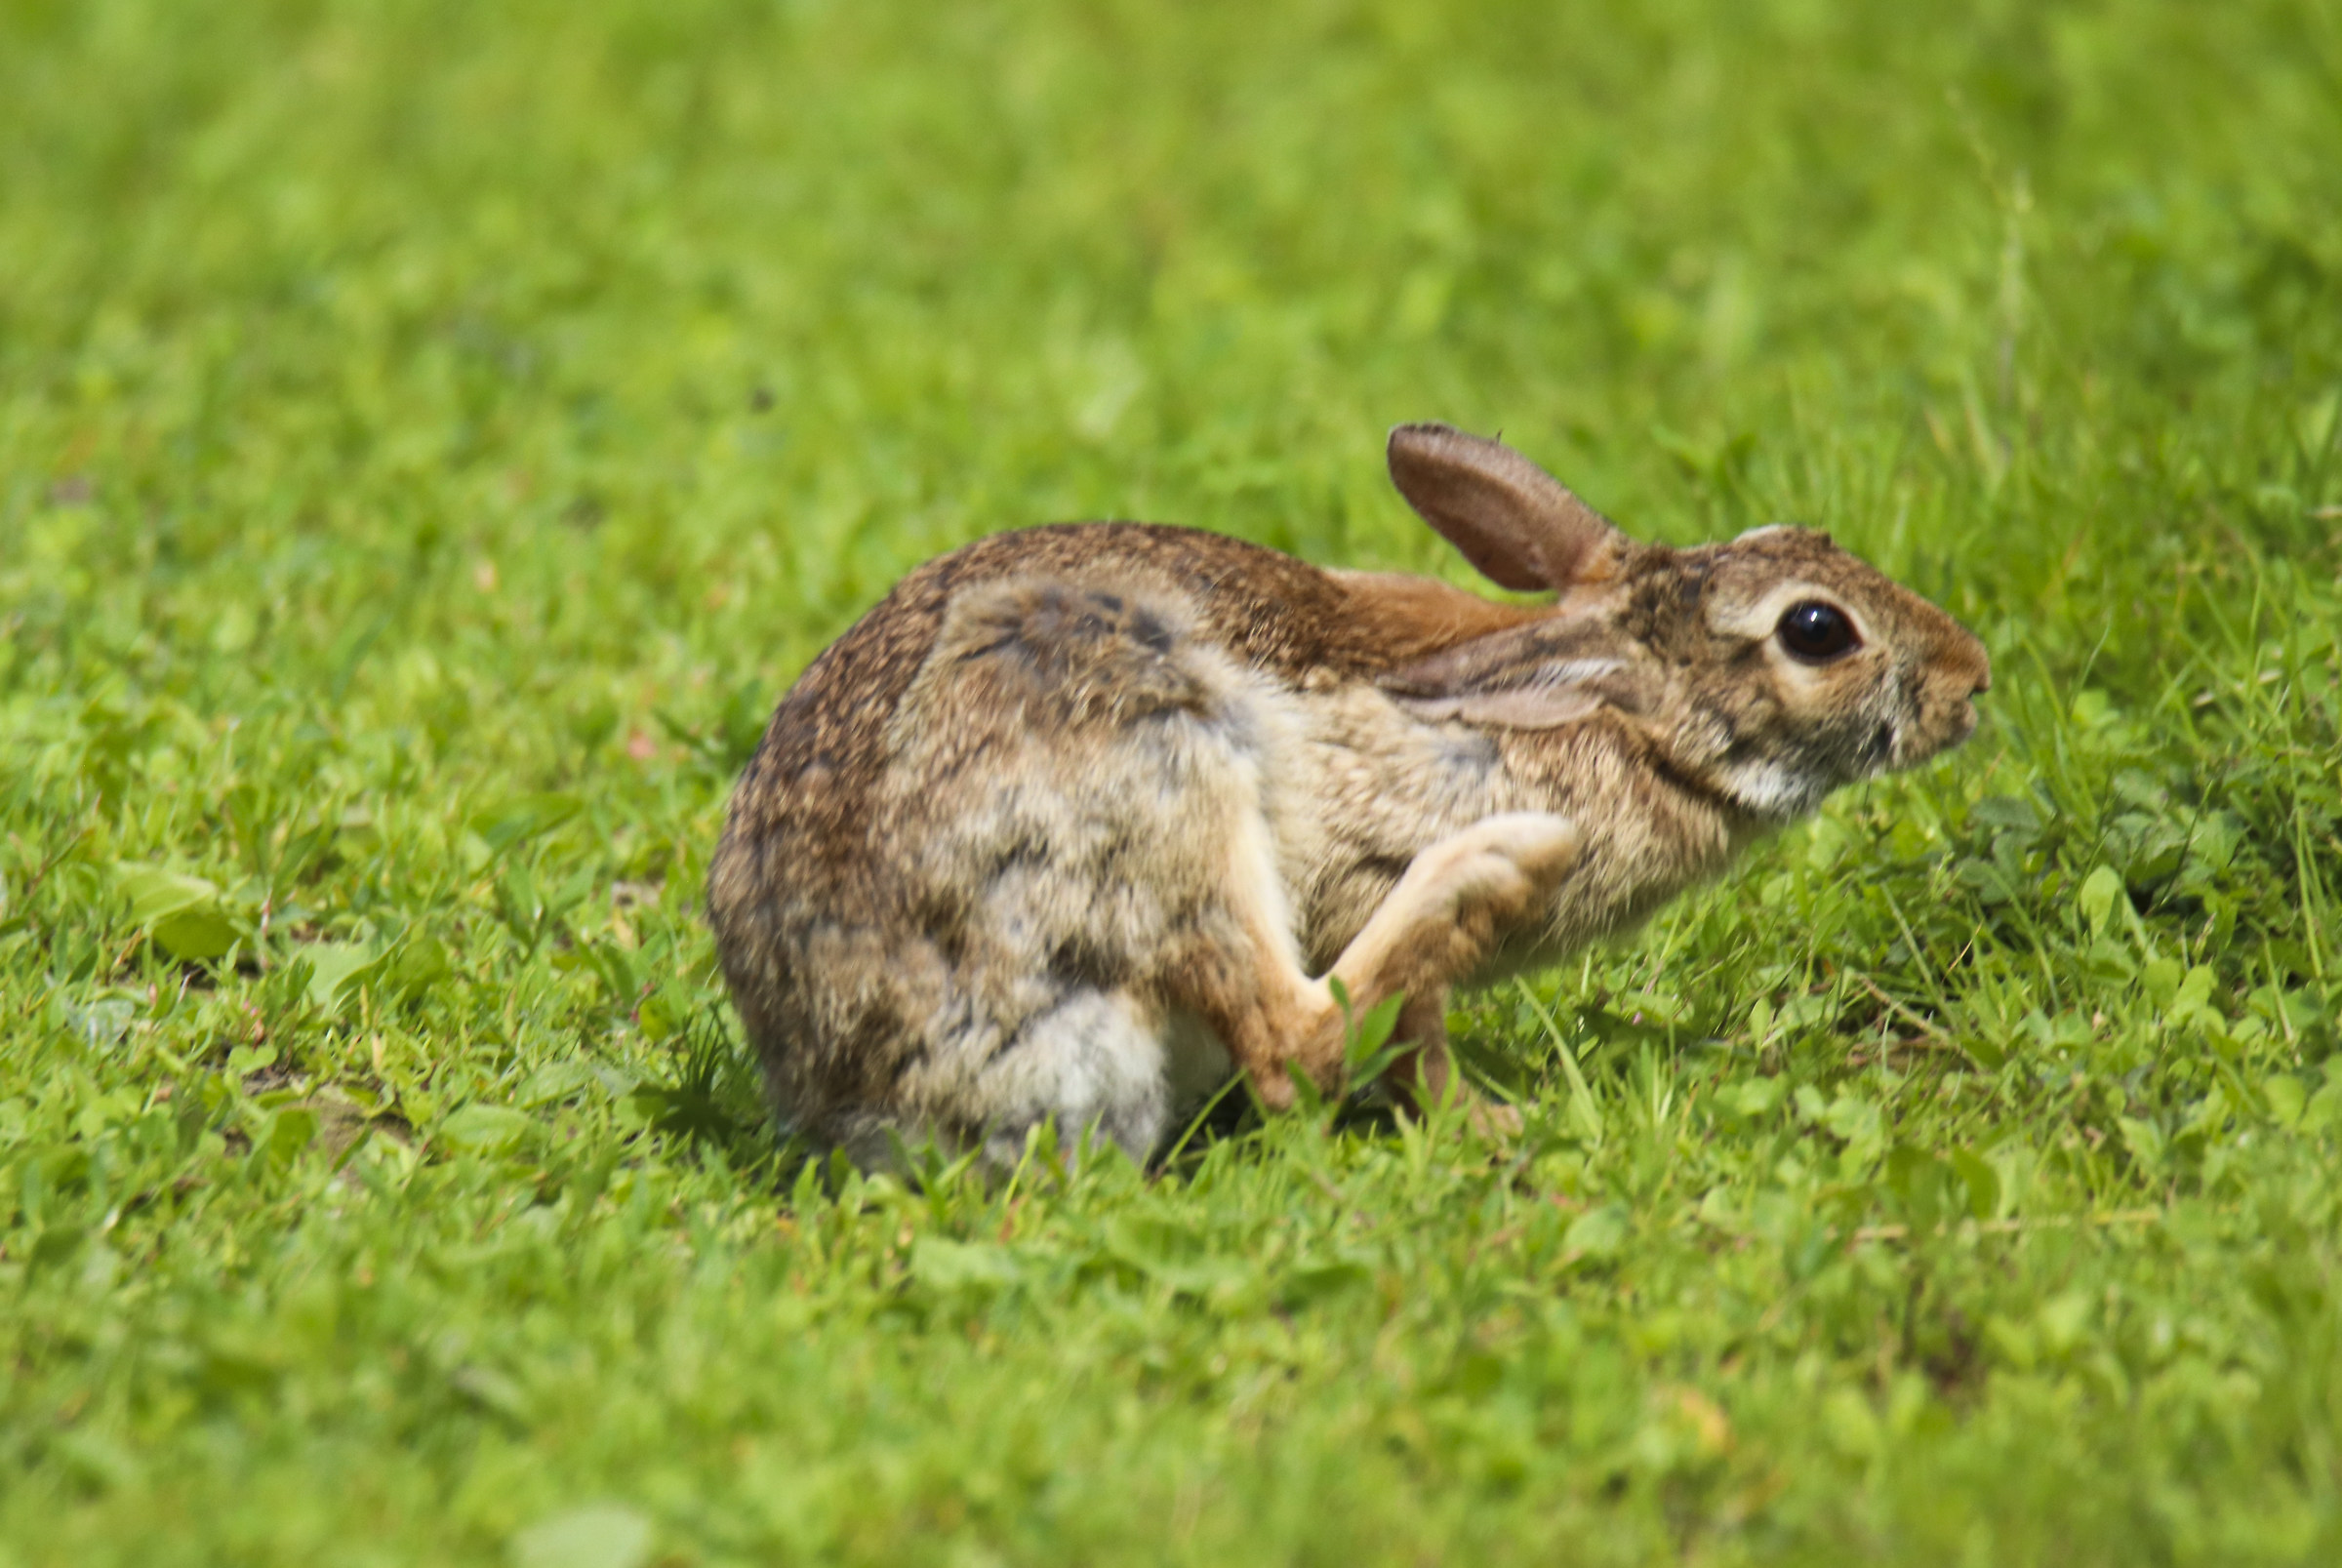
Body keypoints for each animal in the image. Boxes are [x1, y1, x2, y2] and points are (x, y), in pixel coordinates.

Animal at [707, 422, 1991, 1169]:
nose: (1974, 678)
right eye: (1818, 630)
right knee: (1292, 1035)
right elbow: (1402, 1034)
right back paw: (1498, 864)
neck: (1630, 717)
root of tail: (862, 1076)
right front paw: (1488, 1121)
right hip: (1154, 764)